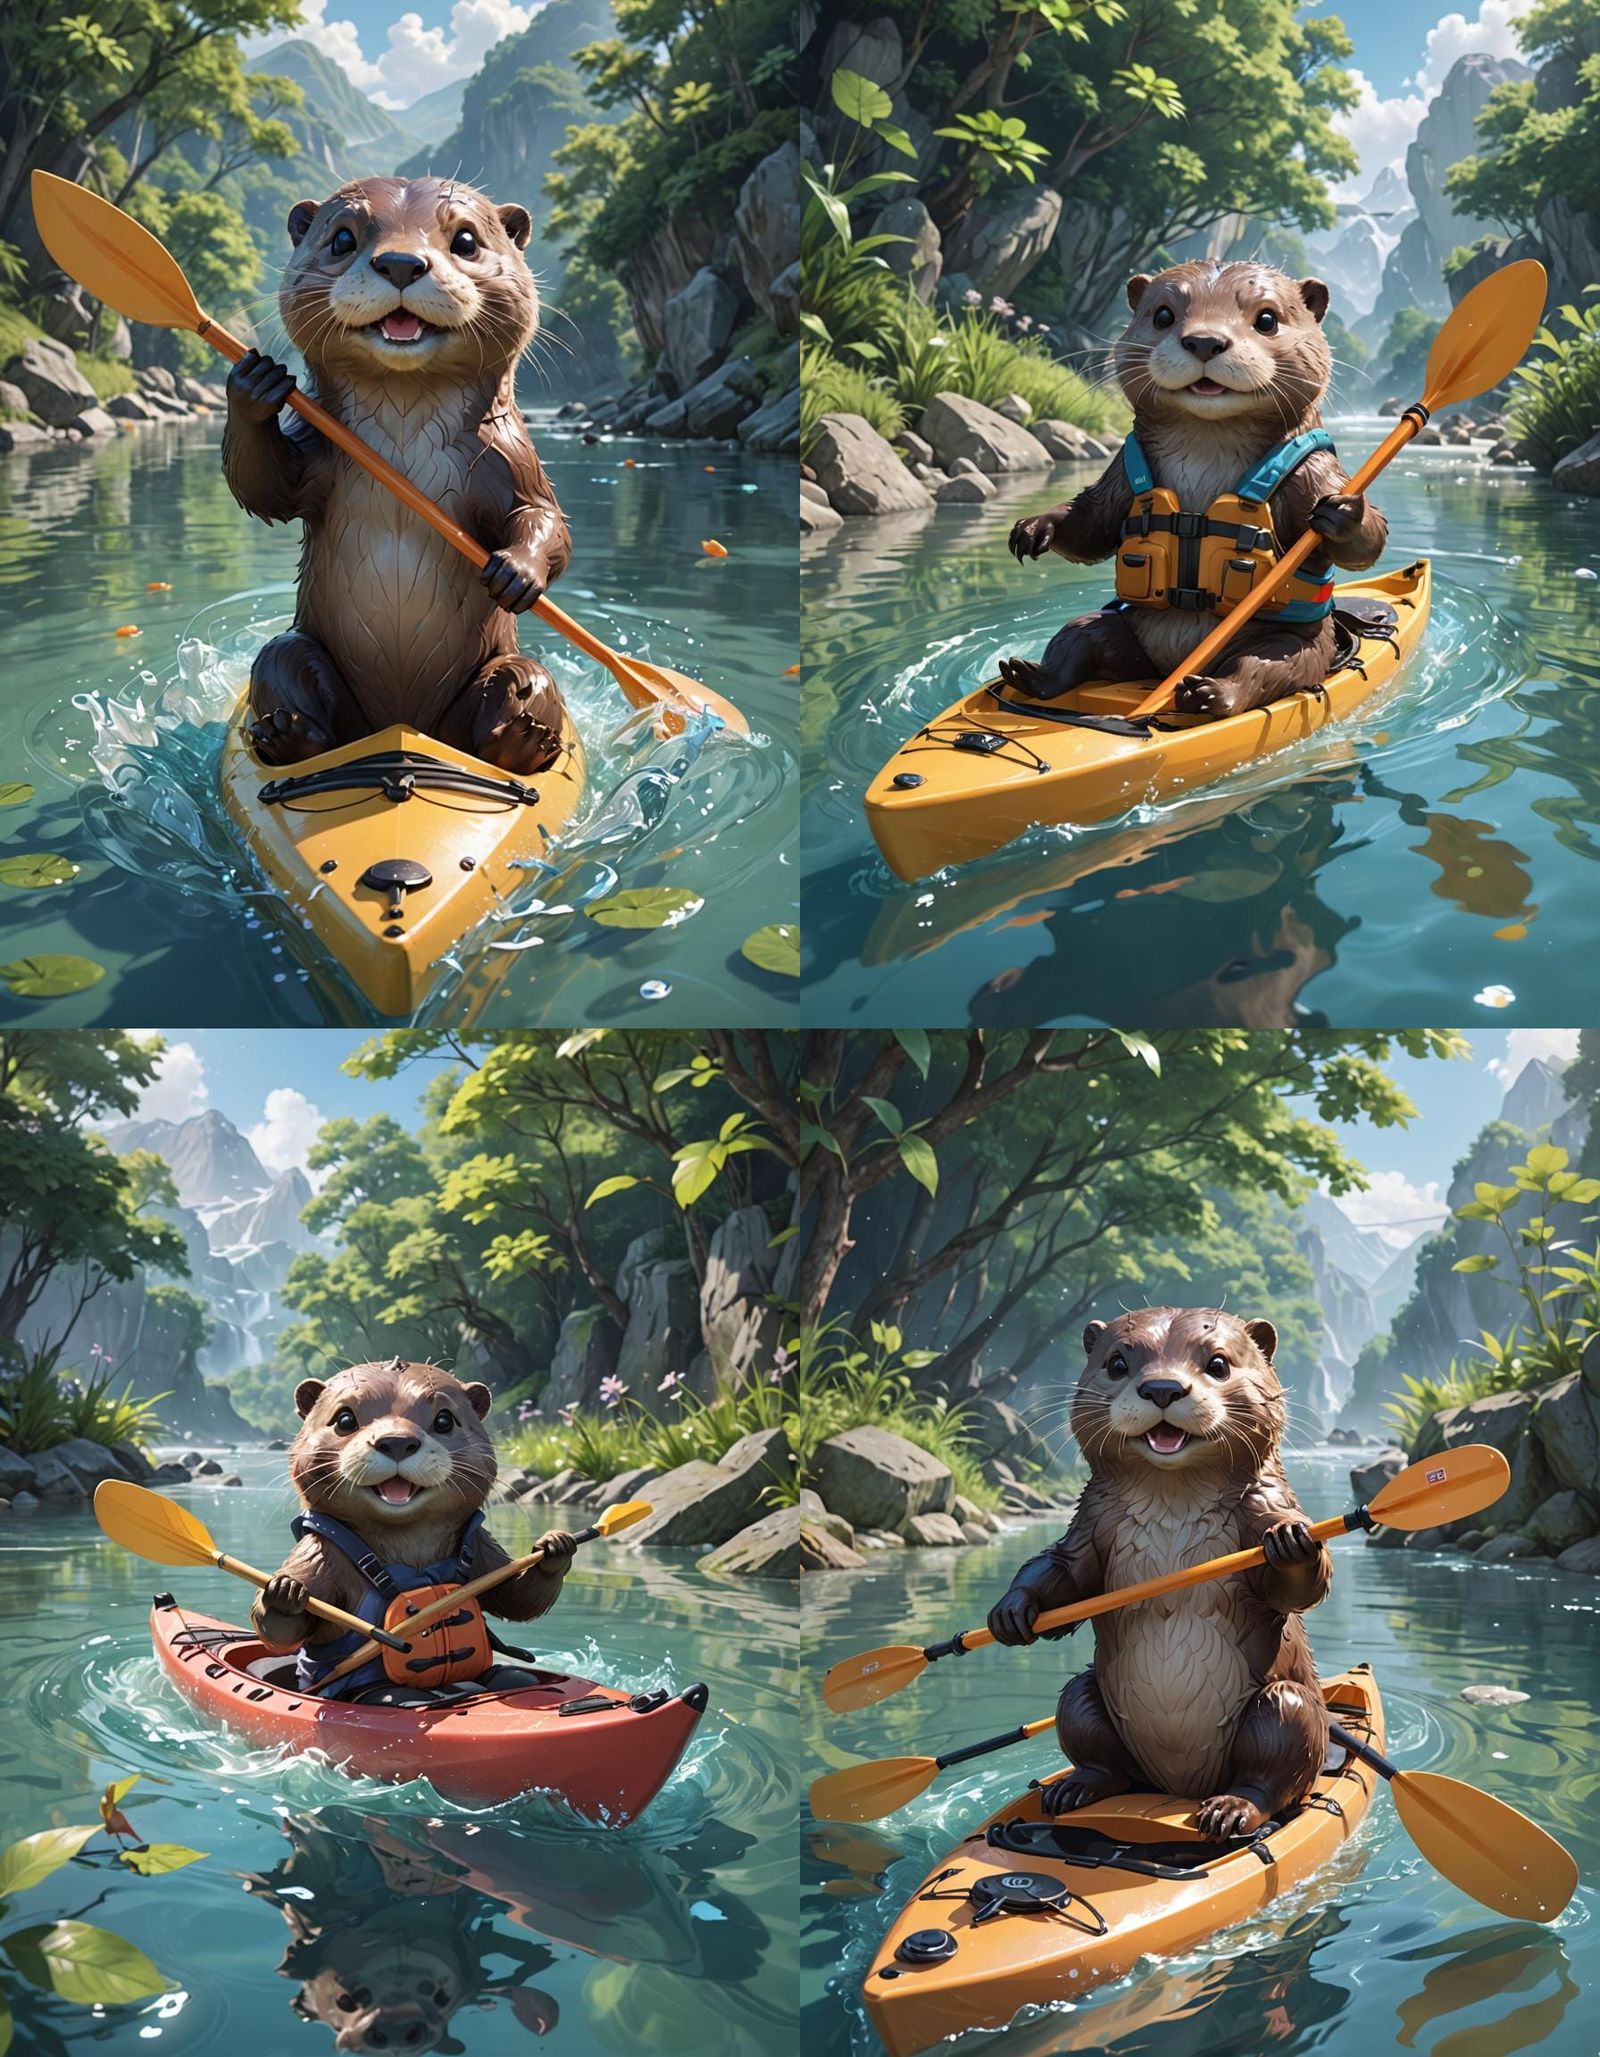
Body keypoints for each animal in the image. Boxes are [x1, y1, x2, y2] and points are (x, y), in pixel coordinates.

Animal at [223, 177, 570, 774]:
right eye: (341, 238)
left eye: (467, 240)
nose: (403, 263)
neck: (405, 428)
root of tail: (403, 726)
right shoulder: (321, 448)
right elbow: (268, 490)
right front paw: (256, 380)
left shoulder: (509, 455)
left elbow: (543, 515)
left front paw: (516, 573)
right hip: (299, 659)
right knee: (284, 665)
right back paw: (289, 736)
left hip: (503, 673)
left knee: (525, 685)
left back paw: (522, 742)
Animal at [252, 1358, 576, 1704]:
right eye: (344, 1419)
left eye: (445, 1420)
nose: (396, 1442)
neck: (407, 1541)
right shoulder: (323, 1552)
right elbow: (284, 1628)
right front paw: (285, 1592)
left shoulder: (478, 1542)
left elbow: (515, 1596)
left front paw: (555, 1547)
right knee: (396, 1696)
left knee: (513, 1676)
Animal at [987, 1307, 1330, 1840]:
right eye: (1117, 1362)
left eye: (1218, 1362)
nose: (1163, 1388)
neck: (1173, 1502)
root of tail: (1177, 1789)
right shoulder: (1093, 1522)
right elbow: (1066, 1573)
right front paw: (1012, 1610)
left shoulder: (1263, 1501)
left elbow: (1297, 1590)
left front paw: (1291, 1541)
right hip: (1087, 1703)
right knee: (1092, 1738)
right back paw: (1073, 1789)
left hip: (1285, 1713)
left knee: (1276, 1761)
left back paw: (1230, 1810)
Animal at [1002, 262, 1387, 718]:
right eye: (1162, 315)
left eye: (1268, 319)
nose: (1204, 341)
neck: (1208, 439)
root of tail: (1165, 671)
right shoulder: (1123, 467)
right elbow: (1092, 521)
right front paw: (1032, 529)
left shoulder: (1310, 469)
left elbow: (1364, 543)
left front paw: (1343, 512)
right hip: (1121, 627)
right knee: (1081, 635)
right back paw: (1027, 674)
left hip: (1295, 643)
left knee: (1267, 666)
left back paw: (1210, 694)